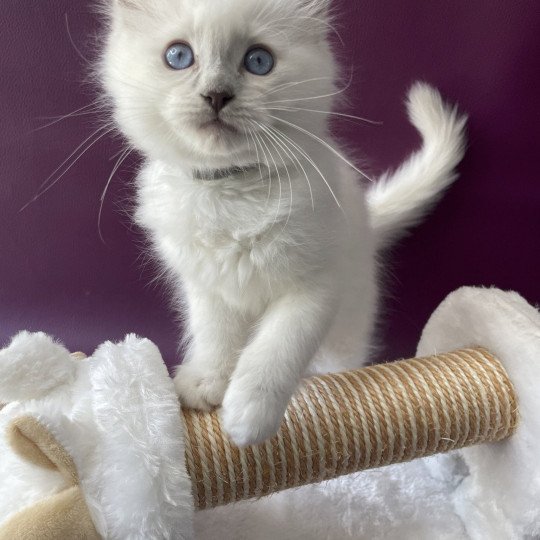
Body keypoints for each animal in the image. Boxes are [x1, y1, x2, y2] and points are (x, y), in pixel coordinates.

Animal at [101, 0, 468, 446]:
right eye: (179, 56)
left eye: (259, 61)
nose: (216, 94)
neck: (232, 193)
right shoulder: (206, 286)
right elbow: (215, 336)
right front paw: (207, 383)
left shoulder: (316, 284)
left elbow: (277, 347)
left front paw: (247, 415)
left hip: (349, 319)